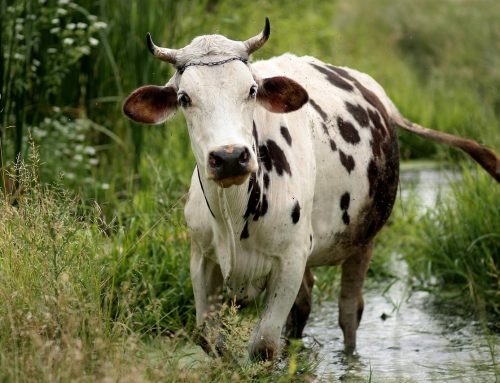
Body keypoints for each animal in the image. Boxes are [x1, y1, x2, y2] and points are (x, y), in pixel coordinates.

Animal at [122, 17, 500, 360]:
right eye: (185, 98)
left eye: (251, 91)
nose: (230, 157)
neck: (233, 212)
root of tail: (374, 90)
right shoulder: (202, 258)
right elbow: (209, 340)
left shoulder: (290, 259)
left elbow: (263, 347)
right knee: (303, 308)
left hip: (363, 239)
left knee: (349, 313)